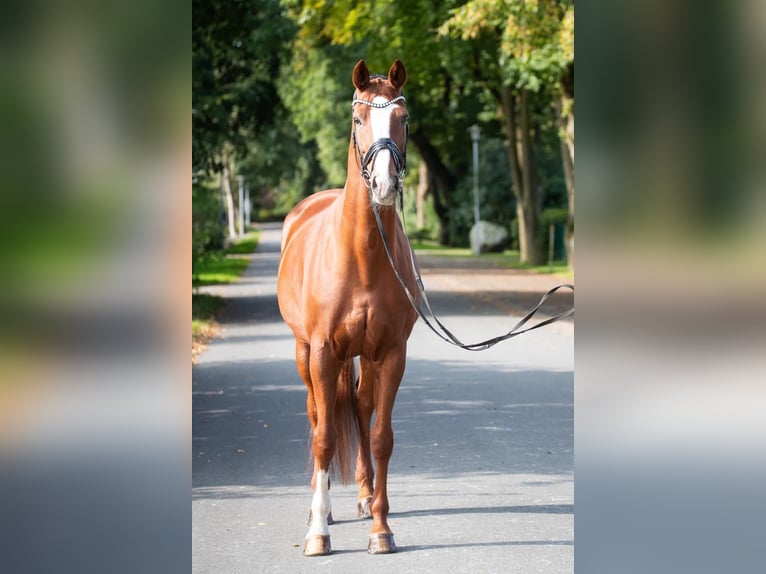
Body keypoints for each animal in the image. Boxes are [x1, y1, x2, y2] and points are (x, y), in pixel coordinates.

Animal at [278, 59, 416, 560]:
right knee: (317, 413)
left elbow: (380, 437)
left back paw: (366, 497)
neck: (362, 256)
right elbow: (324, 436)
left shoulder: (391, 353)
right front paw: (318, 533)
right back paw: (320, 510)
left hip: (366, 357)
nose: (384, 185)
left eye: (403, 119)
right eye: (358, 119)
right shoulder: (322, 351)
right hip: (305, 352)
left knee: (359, 407)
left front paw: (381, 528)